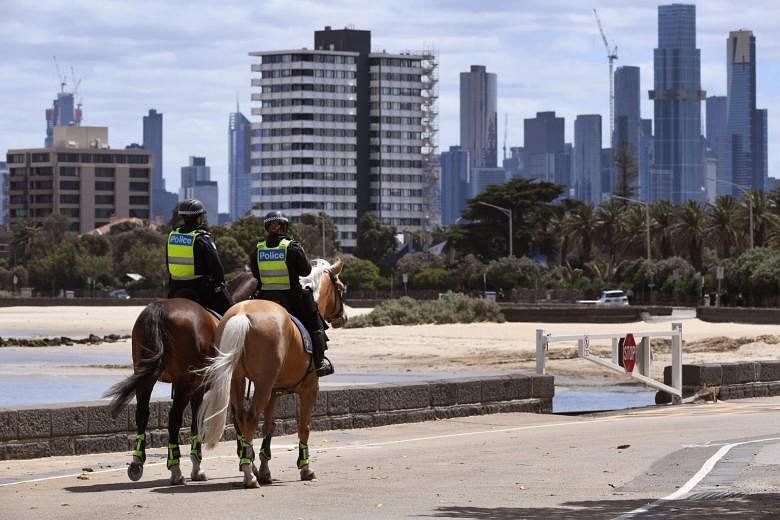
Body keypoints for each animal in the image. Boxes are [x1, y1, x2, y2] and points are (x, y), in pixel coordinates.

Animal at [103, 274, 254, 486]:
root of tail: (159, 309)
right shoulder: (219, 385)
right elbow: (232, 417)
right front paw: (246, 460)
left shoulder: (198, 388)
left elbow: (196, 423)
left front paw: (197, 466)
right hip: (183, 382)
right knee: (173, 418)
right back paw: (175, 470)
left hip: (148, 377)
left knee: (142, 414)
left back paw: (137, 463)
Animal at [198, 258, 348, 488]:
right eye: (340, 288)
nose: (344, 317)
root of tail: (242, 315)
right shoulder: (309, 388)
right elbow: (304, 427)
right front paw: (305, 468)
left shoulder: (274, 392)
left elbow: (269, 426)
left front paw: (264, 469)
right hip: (262, 384)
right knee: (251, 416)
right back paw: (248, 475)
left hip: (238, 380)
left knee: (240, 416)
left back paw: (248, 465)